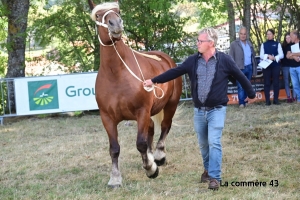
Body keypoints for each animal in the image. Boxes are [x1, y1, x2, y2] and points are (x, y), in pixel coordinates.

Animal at [88, 0, 182, 188]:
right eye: (98, 15)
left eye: (117, 11)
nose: (116, 24)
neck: (116, 74)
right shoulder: (107, 117)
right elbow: (114, 148)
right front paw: (115, 178)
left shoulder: (142, 111)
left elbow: (140, 144)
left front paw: (151, 169)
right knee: (152, 129)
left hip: (170, 104)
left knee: (165, 127)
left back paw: (159, 156)